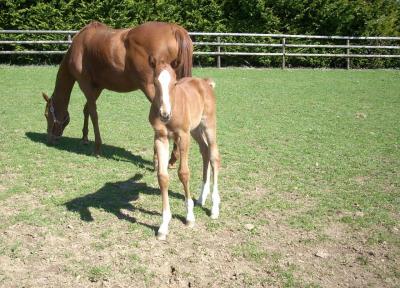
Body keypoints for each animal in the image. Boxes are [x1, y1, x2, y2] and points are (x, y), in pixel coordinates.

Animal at [41, 20, 192, 166]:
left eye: (47, 114)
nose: (50, 139)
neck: (79, 45)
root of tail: (174, 29)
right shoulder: (98, 87)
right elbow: (87, 110)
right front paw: (84, 138)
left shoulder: (85, 84)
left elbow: (93, 113)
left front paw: (97, 148)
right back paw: (173, 159)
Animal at [148, 59, 220, 240]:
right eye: (155, 82)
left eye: (174, 83)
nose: (164, 114)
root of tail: (205, 82)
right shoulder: (160, 138)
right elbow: (162, 177)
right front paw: (163, 226)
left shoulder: (183, 136)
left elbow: (184, 173)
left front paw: (189, 217)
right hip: (195, 130)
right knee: (205, 151)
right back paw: (201, 198)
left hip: (208, 125)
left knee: (214, 156)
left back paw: (214, 207)